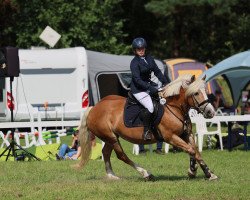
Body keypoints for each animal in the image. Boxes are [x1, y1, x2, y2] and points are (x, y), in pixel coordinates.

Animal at [77, 74, 218, 181]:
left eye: (205, 91)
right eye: (196, 93)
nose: (211, 112)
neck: (174, 108)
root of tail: (94, 108)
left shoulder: (187, 134)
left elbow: (195, 151)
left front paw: (205, 173)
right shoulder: (171, 137)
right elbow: (191, 150)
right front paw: (195, 171)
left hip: (110, 137)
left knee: (106, 153)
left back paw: (112, 176)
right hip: (111, 137)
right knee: (121, 155)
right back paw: (146, 173)